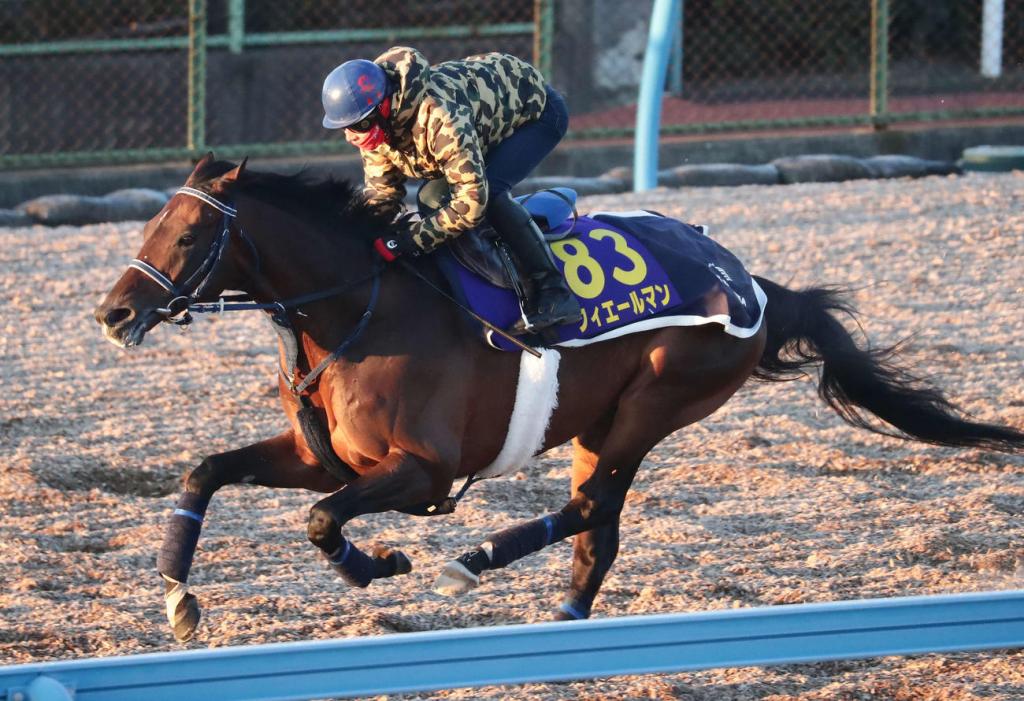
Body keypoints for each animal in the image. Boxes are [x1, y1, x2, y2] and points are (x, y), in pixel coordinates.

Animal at [94, 154, 1024, 642]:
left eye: (188, 233)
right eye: (147, 227)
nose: (114, 313)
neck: (359, 306)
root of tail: (748, 280)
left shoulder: (424, 470)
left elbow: (323, 521)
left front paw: (382, 562)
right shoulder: (326, 458)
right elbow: (205, 470)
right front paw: (179, 603)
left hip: (657, 399)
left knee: (590, 508)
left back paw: (473, 561)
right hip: (598, 422)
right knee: (598, 531)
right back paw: (567, 620)